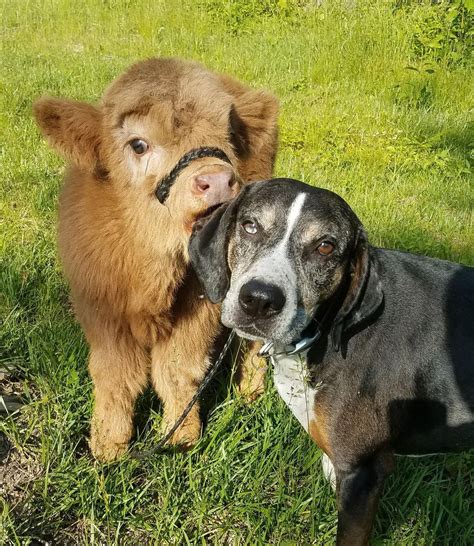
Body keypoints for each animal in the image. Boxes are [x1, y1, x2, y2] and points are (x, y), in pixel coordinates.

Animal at [33, 58, 278, 460]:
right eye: (138, 144)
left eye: (229, 133)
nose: (217, 180)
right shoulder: (101, 307)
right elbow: (115, 374)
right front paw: (109, 444)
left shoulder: (199, 308)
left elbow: (178, 368)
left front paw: (181, 435)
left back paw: (250, 390)